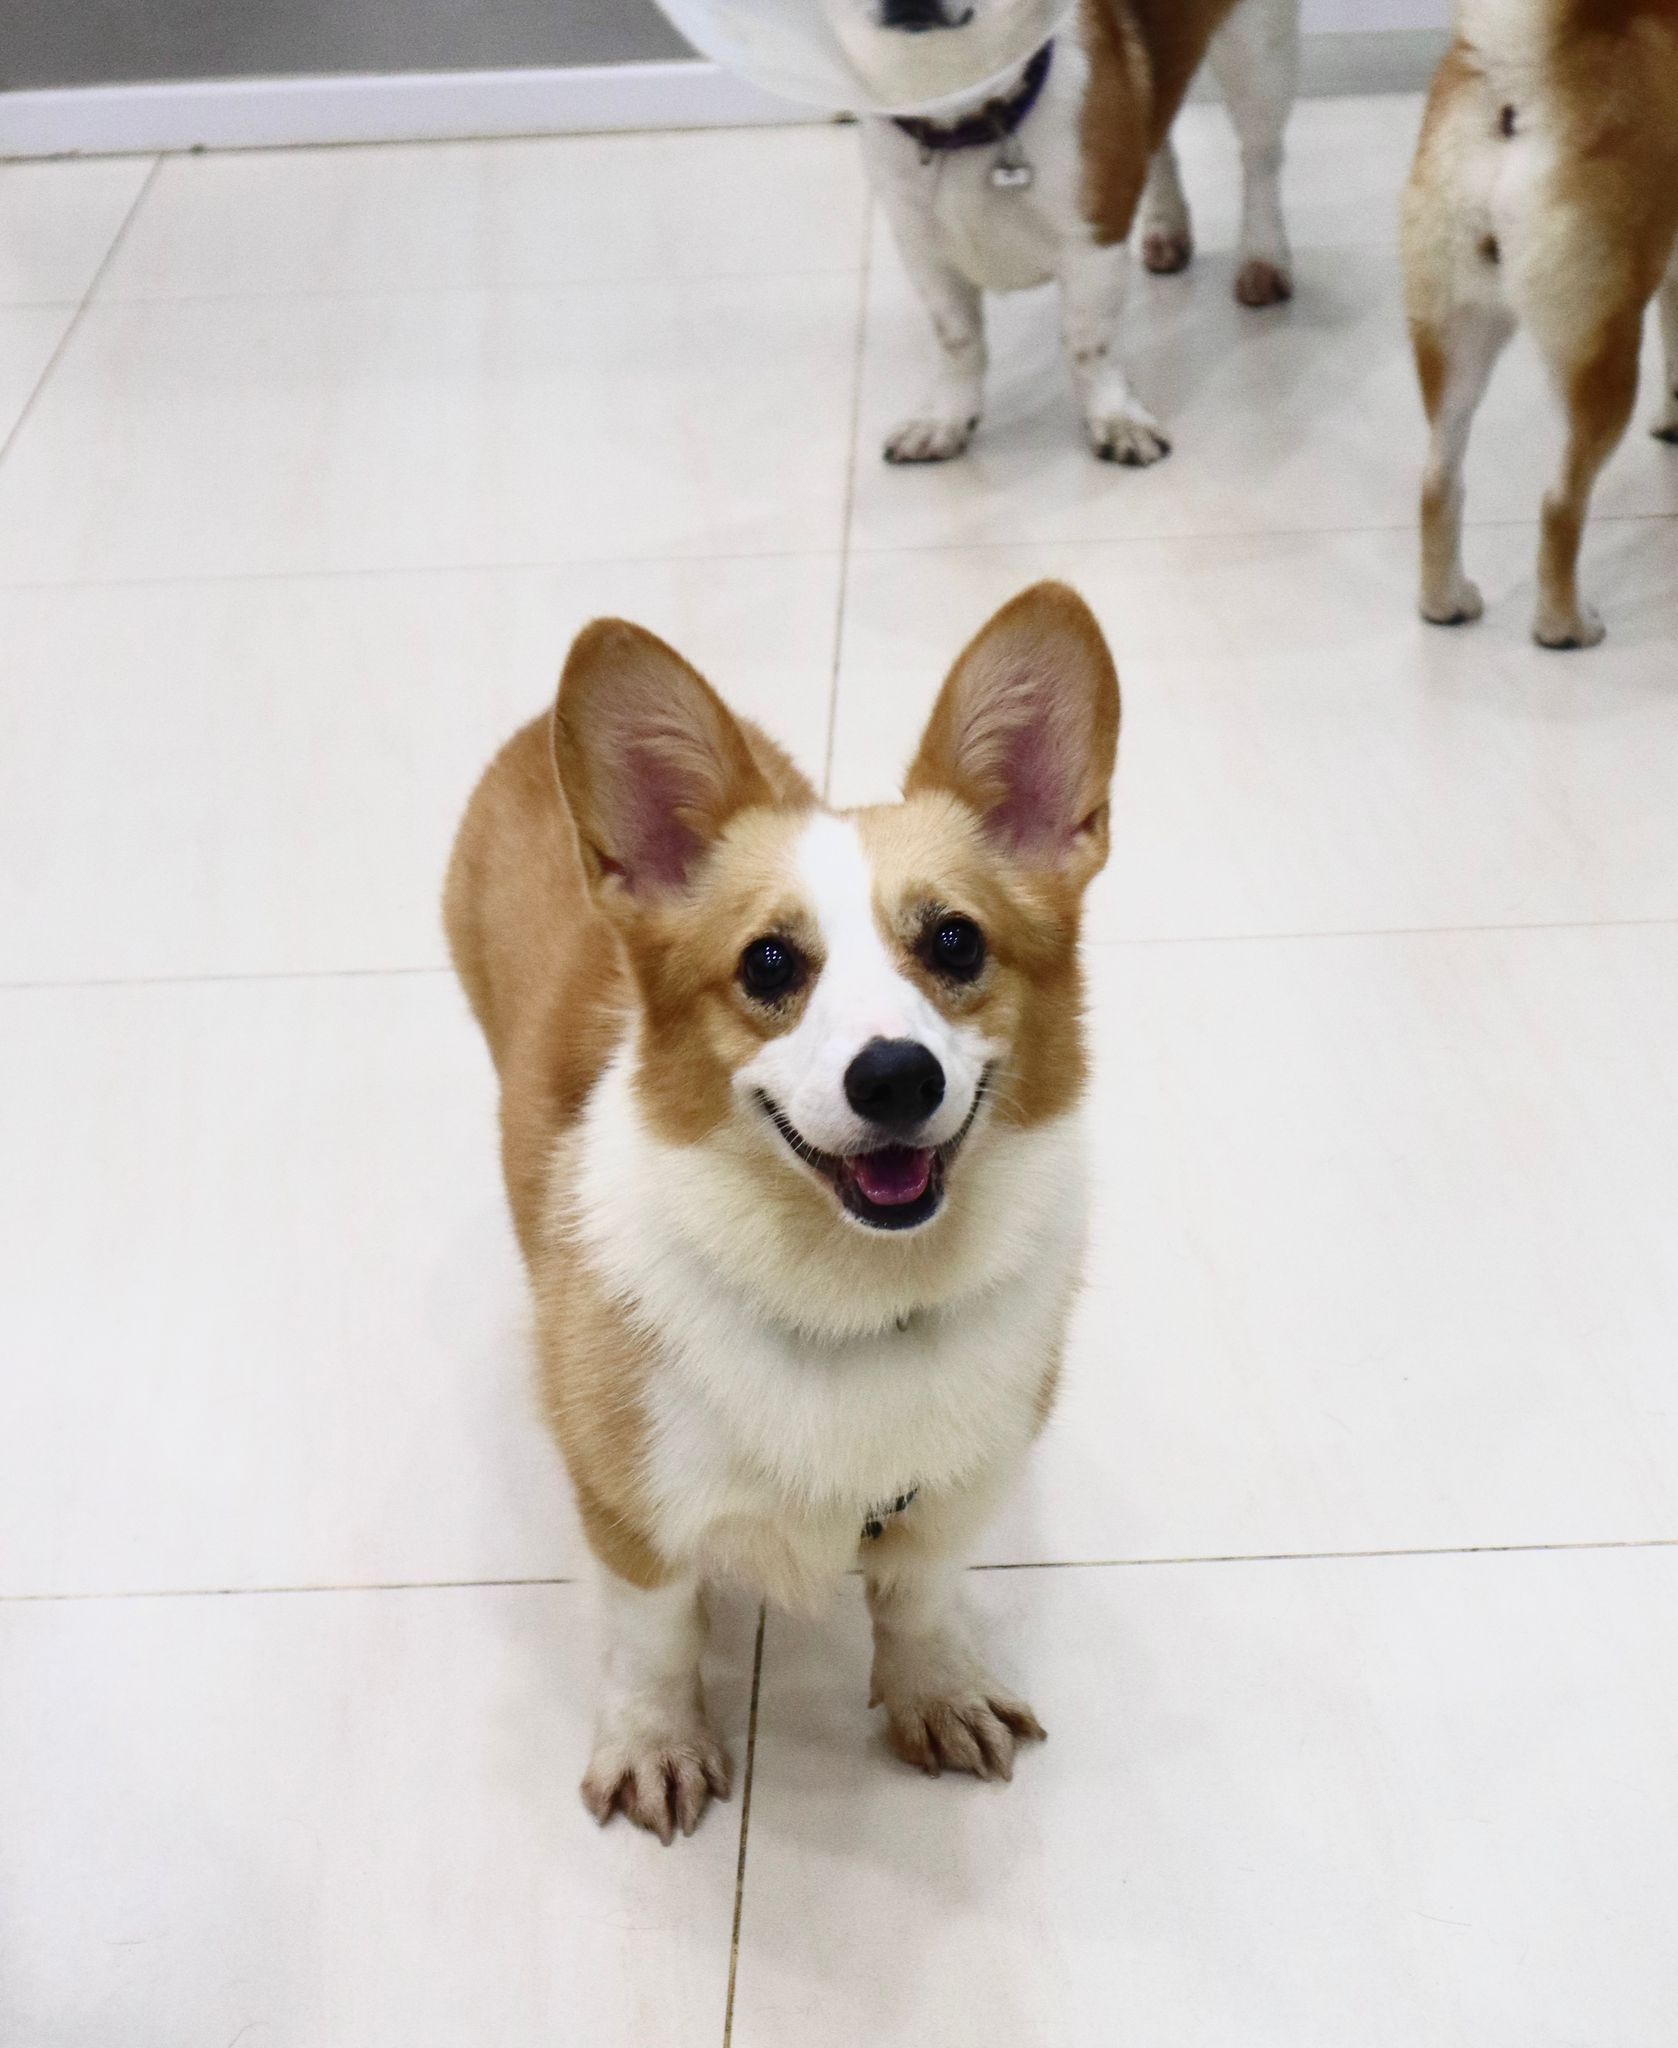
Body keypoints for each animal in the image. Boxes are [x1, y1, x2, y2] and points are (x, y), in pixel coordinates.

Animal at [444, 583, 1119, 1841]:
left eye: (955, 939)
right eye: (767, 964)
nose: (894, 1076)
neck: (857, 1297)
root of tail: (524, 737)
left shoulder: (953, 1489)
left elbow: (922, 1597)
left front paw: (936, 1690)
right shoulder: (630, 1505)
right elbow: (653, 1635)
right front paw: (655, 1743)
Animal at [841, 0, 1300, 464]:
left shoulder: (1095, 243)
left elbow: (1086, 343)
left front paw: (1116, 417)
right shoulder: (925, 254)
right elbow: (958, 341)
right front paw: (944, 419)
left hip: (1259, 54)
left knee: (1260, 159)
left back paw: (1264, 260)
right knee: (1157, 129)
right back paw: (1167, 228)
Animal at [1402, 0, 1678, 648]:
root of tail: (1518, 81)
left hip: (1456, 336)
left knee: (1438, 483)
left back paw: (1446, 603)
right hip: (1600, 353)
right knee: (1559, 506)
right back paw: (1566, 627)